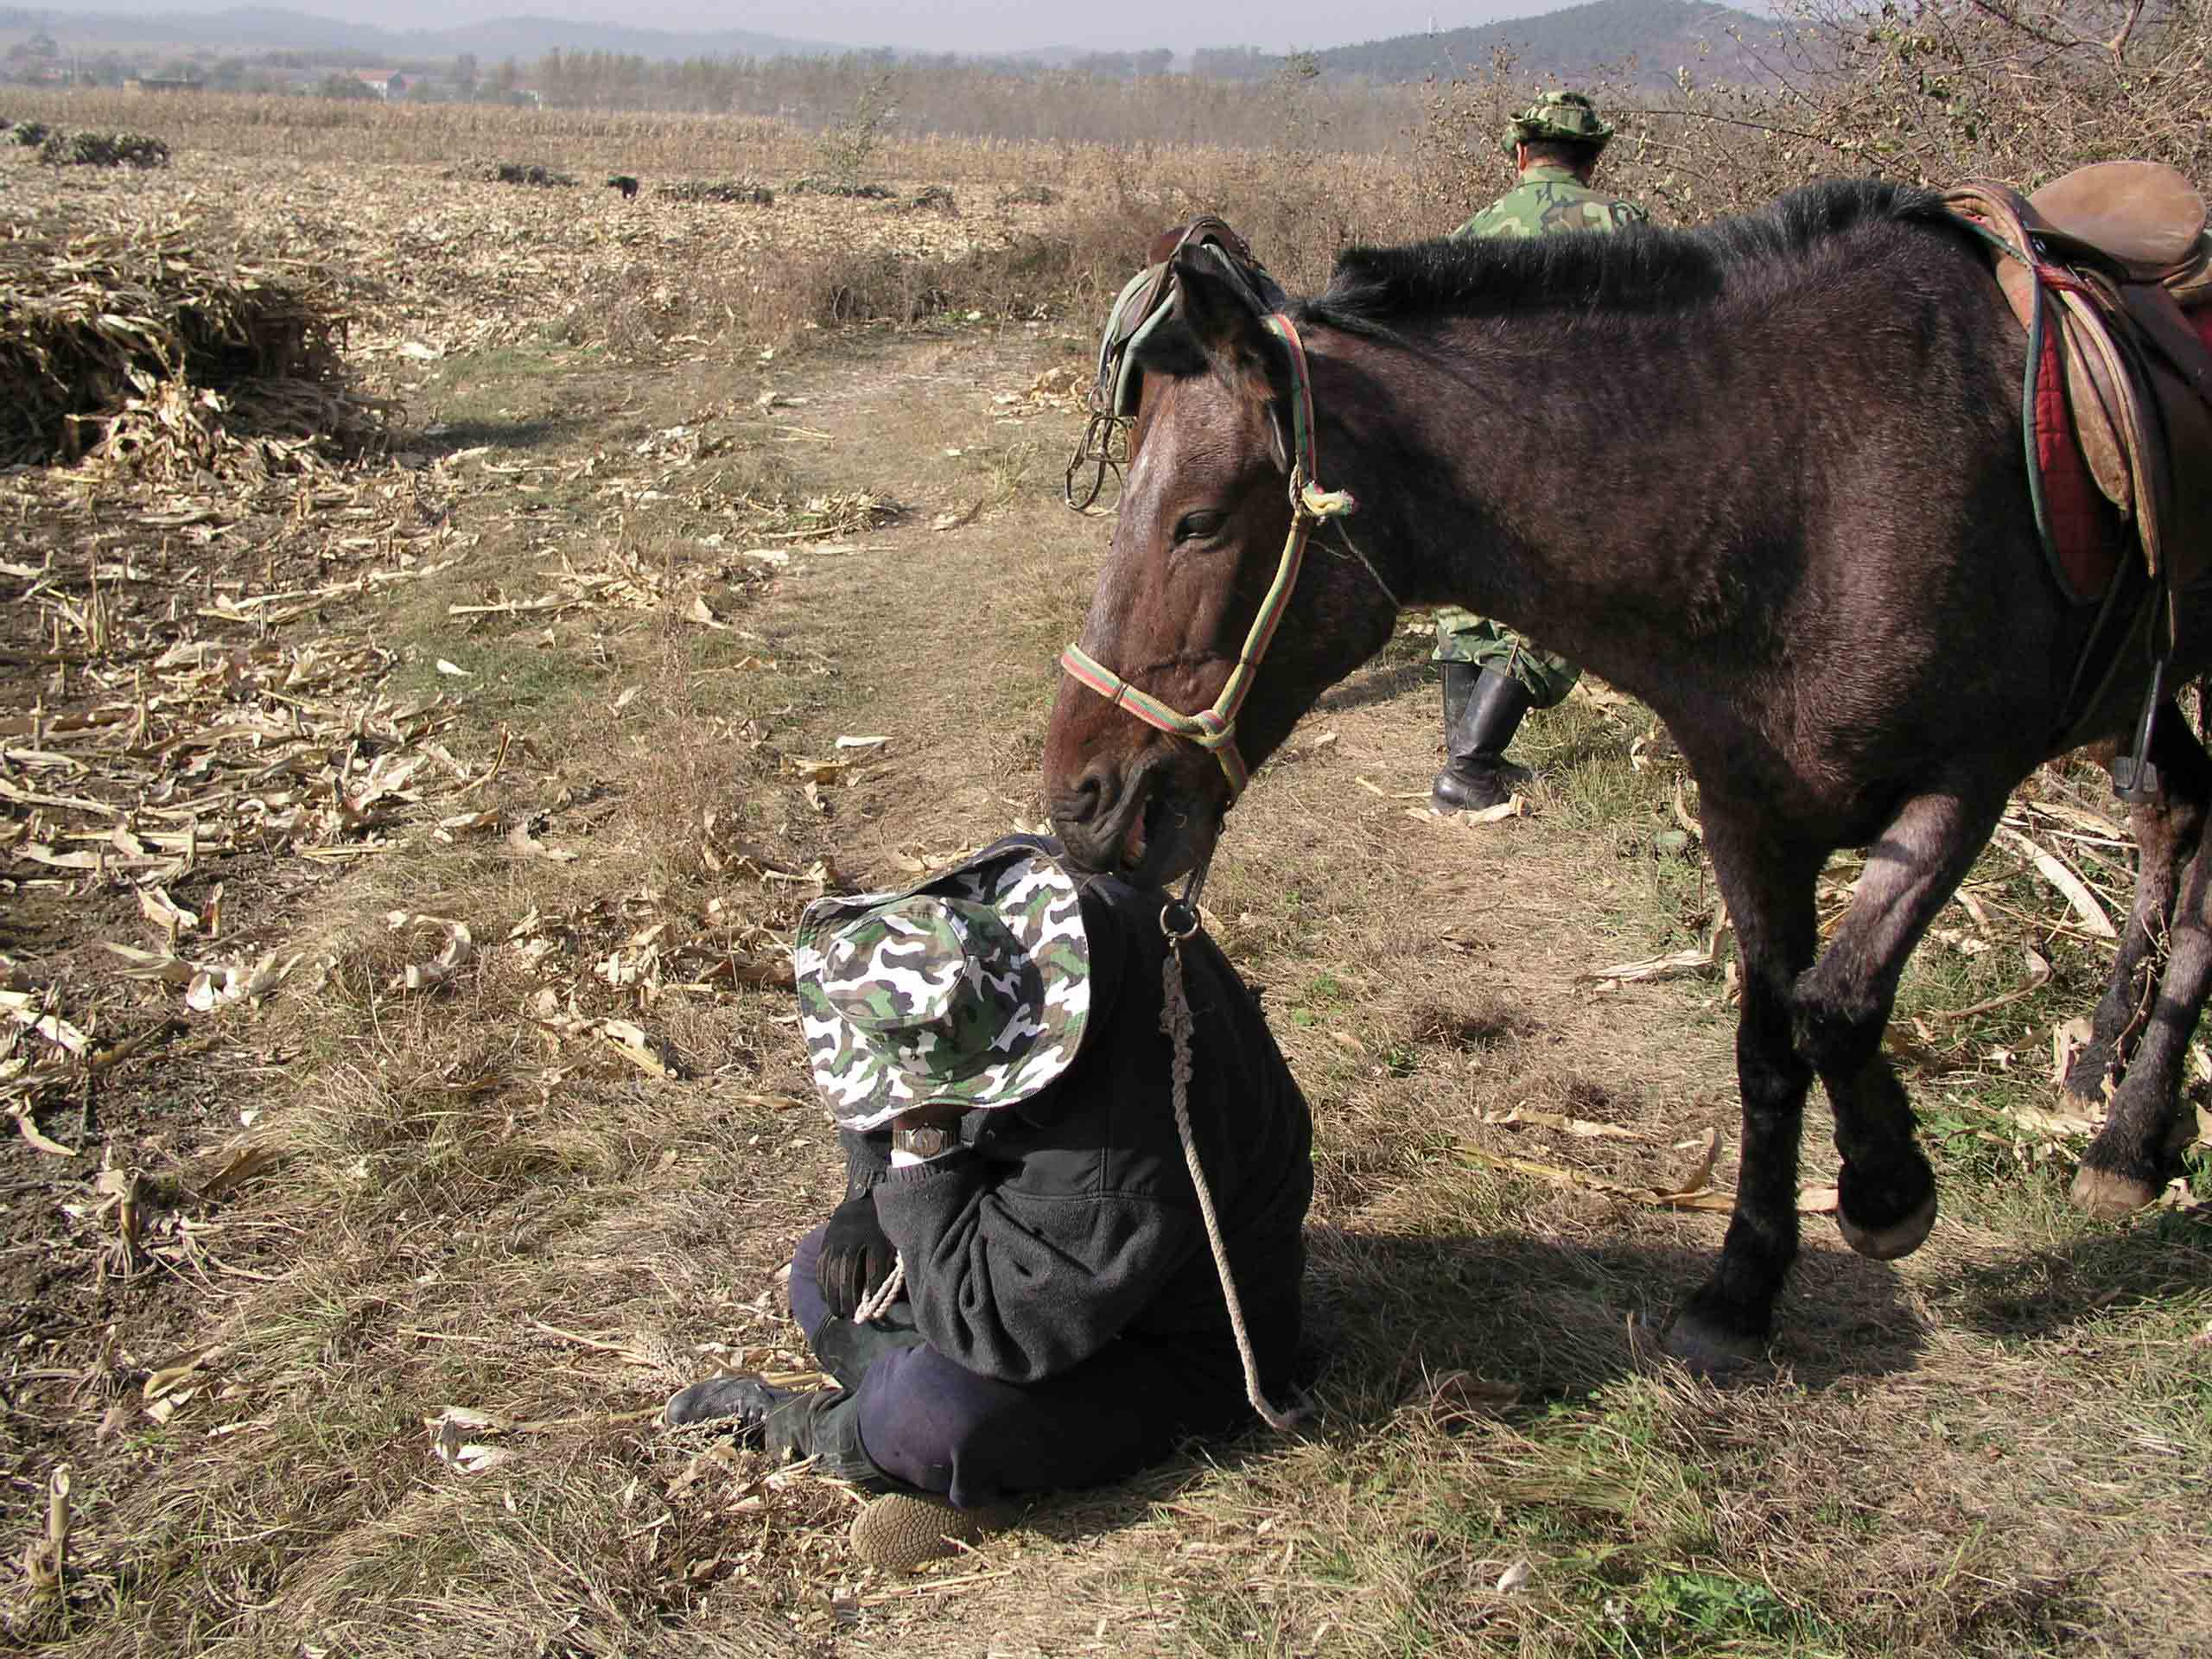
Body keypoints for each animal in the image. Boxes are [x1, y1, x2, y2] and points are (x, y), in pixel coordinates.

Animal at [1044, 184, 2212, 1380]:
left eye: (1198, 522)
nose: (1081, 797)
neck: (1816, 482)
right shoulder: (1747, 815)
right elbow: (1769, 1042)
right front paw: (1742, 1286)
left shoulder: (1962, 786)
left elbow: (1836, 1007)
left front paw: (1886, 1192)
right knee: (2178, 819)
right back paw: (2106, 1079)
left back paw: (2130, 1134)